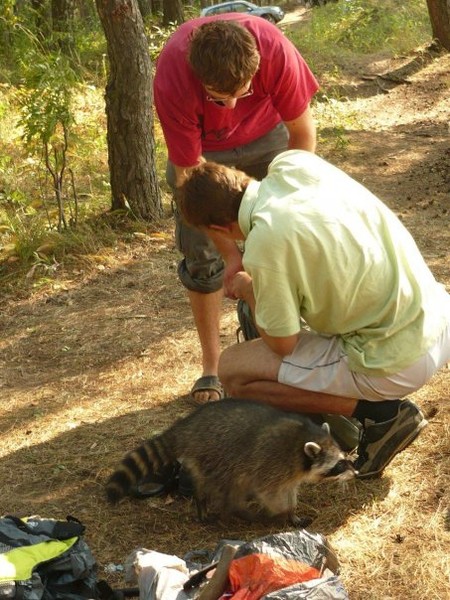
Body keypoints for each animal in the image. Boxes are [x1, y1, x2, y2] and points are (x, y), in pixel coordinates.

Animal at [105, 398, 356, 524]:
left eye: (344, 459)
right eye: (339, 464)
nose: (355, 474)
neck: (304, 438)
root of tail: (187, 426)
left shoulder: (289, 473)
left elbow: (288, 490)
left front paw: (292, 511)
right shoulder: (272, 462)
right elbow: (268, 492)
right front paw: (281, 513)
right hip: (215, 457)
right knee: (226, 486)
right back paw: (226, 508)